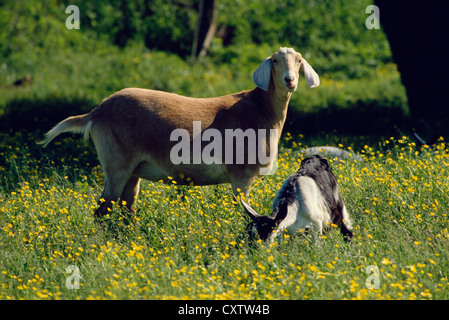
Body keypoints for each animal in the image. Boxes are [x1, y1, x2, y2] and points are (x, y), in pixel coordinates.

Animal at [38, 47, 318, 218]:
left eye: (299, 61)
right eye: (275, 61)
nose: (290, 80)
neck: (262, 109)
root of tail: (96, 113)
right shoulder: (241, 174)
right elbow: (243, 209)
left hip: (134, 169)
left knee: (128, 206)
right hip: (116, 162)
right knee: (102, 209)